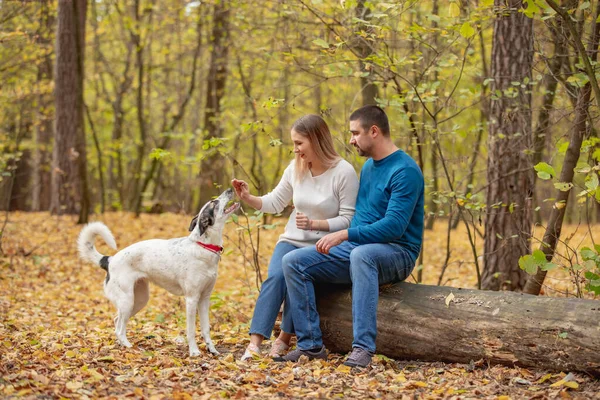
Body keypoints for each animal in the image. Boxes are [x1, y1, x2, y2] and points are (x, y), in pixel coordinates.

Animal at [77, 189, 239, 358]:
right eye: (214, 202)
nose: (230, 189)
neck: (203, 246)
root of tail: (110, 260)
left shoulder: (204, 299)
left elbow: (206, 329)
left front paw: (212, 350)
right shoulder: (191, 299)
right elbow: (191, 330)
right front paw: (194, 351)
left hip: (139, 300)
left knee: (117, 321)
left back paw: (122, 345)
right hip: (127, 300)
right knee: (120, 327)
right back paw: (129, 347)